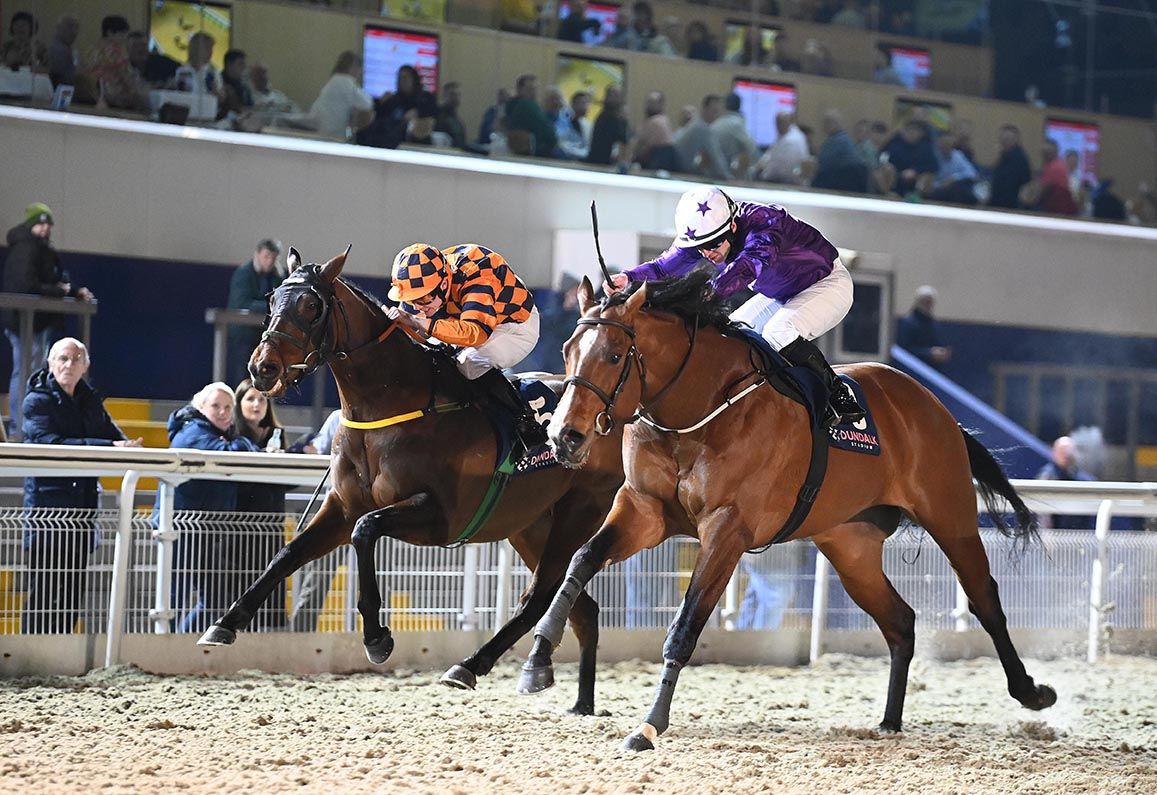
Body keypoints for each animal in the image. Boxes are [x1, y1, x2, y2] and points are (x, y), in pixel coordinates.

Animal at [197, 247, 624, 717]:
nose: (263, 368)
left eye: (311, 305)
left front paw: (376, 636)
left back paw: (470, 666)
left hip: (577, 514)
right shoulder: (342, 507)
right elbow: (288, 554)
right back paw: (581, 703)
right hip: (530, 526)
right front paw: (225, 623)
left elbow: (365, 532)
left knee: (538, 598)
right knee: (582, 608)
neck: (389, 404)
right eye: (272, 300)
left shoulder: (440, 518)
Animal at [516, 270, 1059, 749]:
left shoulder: (727, 529)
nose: (564, 436)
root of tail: (935, 406)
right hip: (850, 546)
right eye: (566, 351)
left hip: (951, 518)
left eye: (612, 355)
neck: (699, 410)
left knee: (985, 599)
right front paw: (538, 660)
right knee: (900, 620)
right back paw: (889, 721)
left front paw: (649, 725)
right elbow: (581, 561)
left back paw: (1031, 692)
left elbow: (684, 628)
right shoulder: (644, 510)